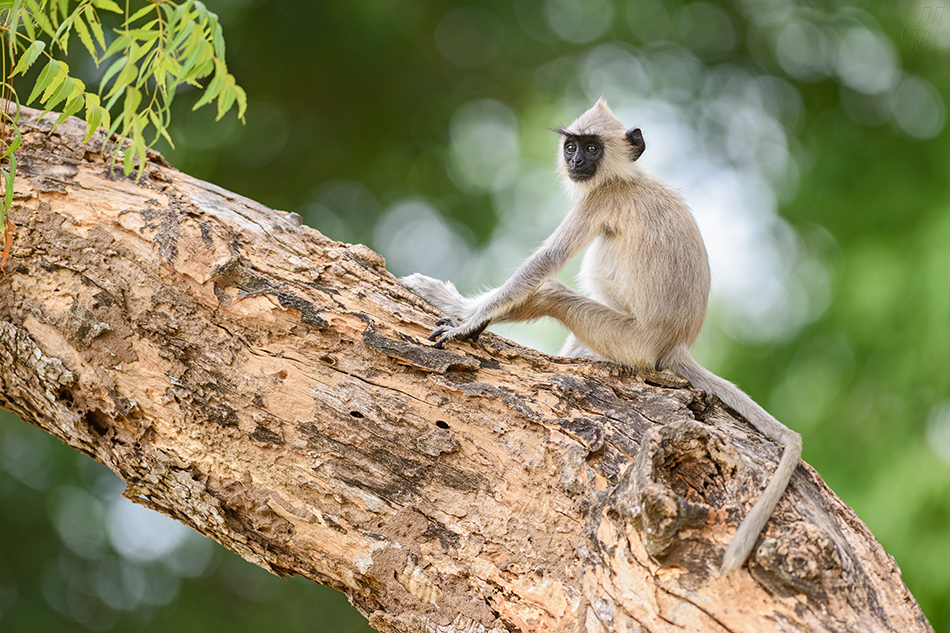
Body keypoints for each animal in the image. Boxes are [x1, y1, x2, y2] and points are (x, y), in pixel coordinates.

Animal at [402, 97, 804, 572]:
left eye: (592, 148)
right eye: (573, 145)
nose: (576, 161)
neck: (626, 176)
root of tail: (674, 345)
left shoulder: (599, 201)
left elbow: (544, 264)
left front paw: (466, 320)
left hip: (628, 340)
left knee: (555, 293)